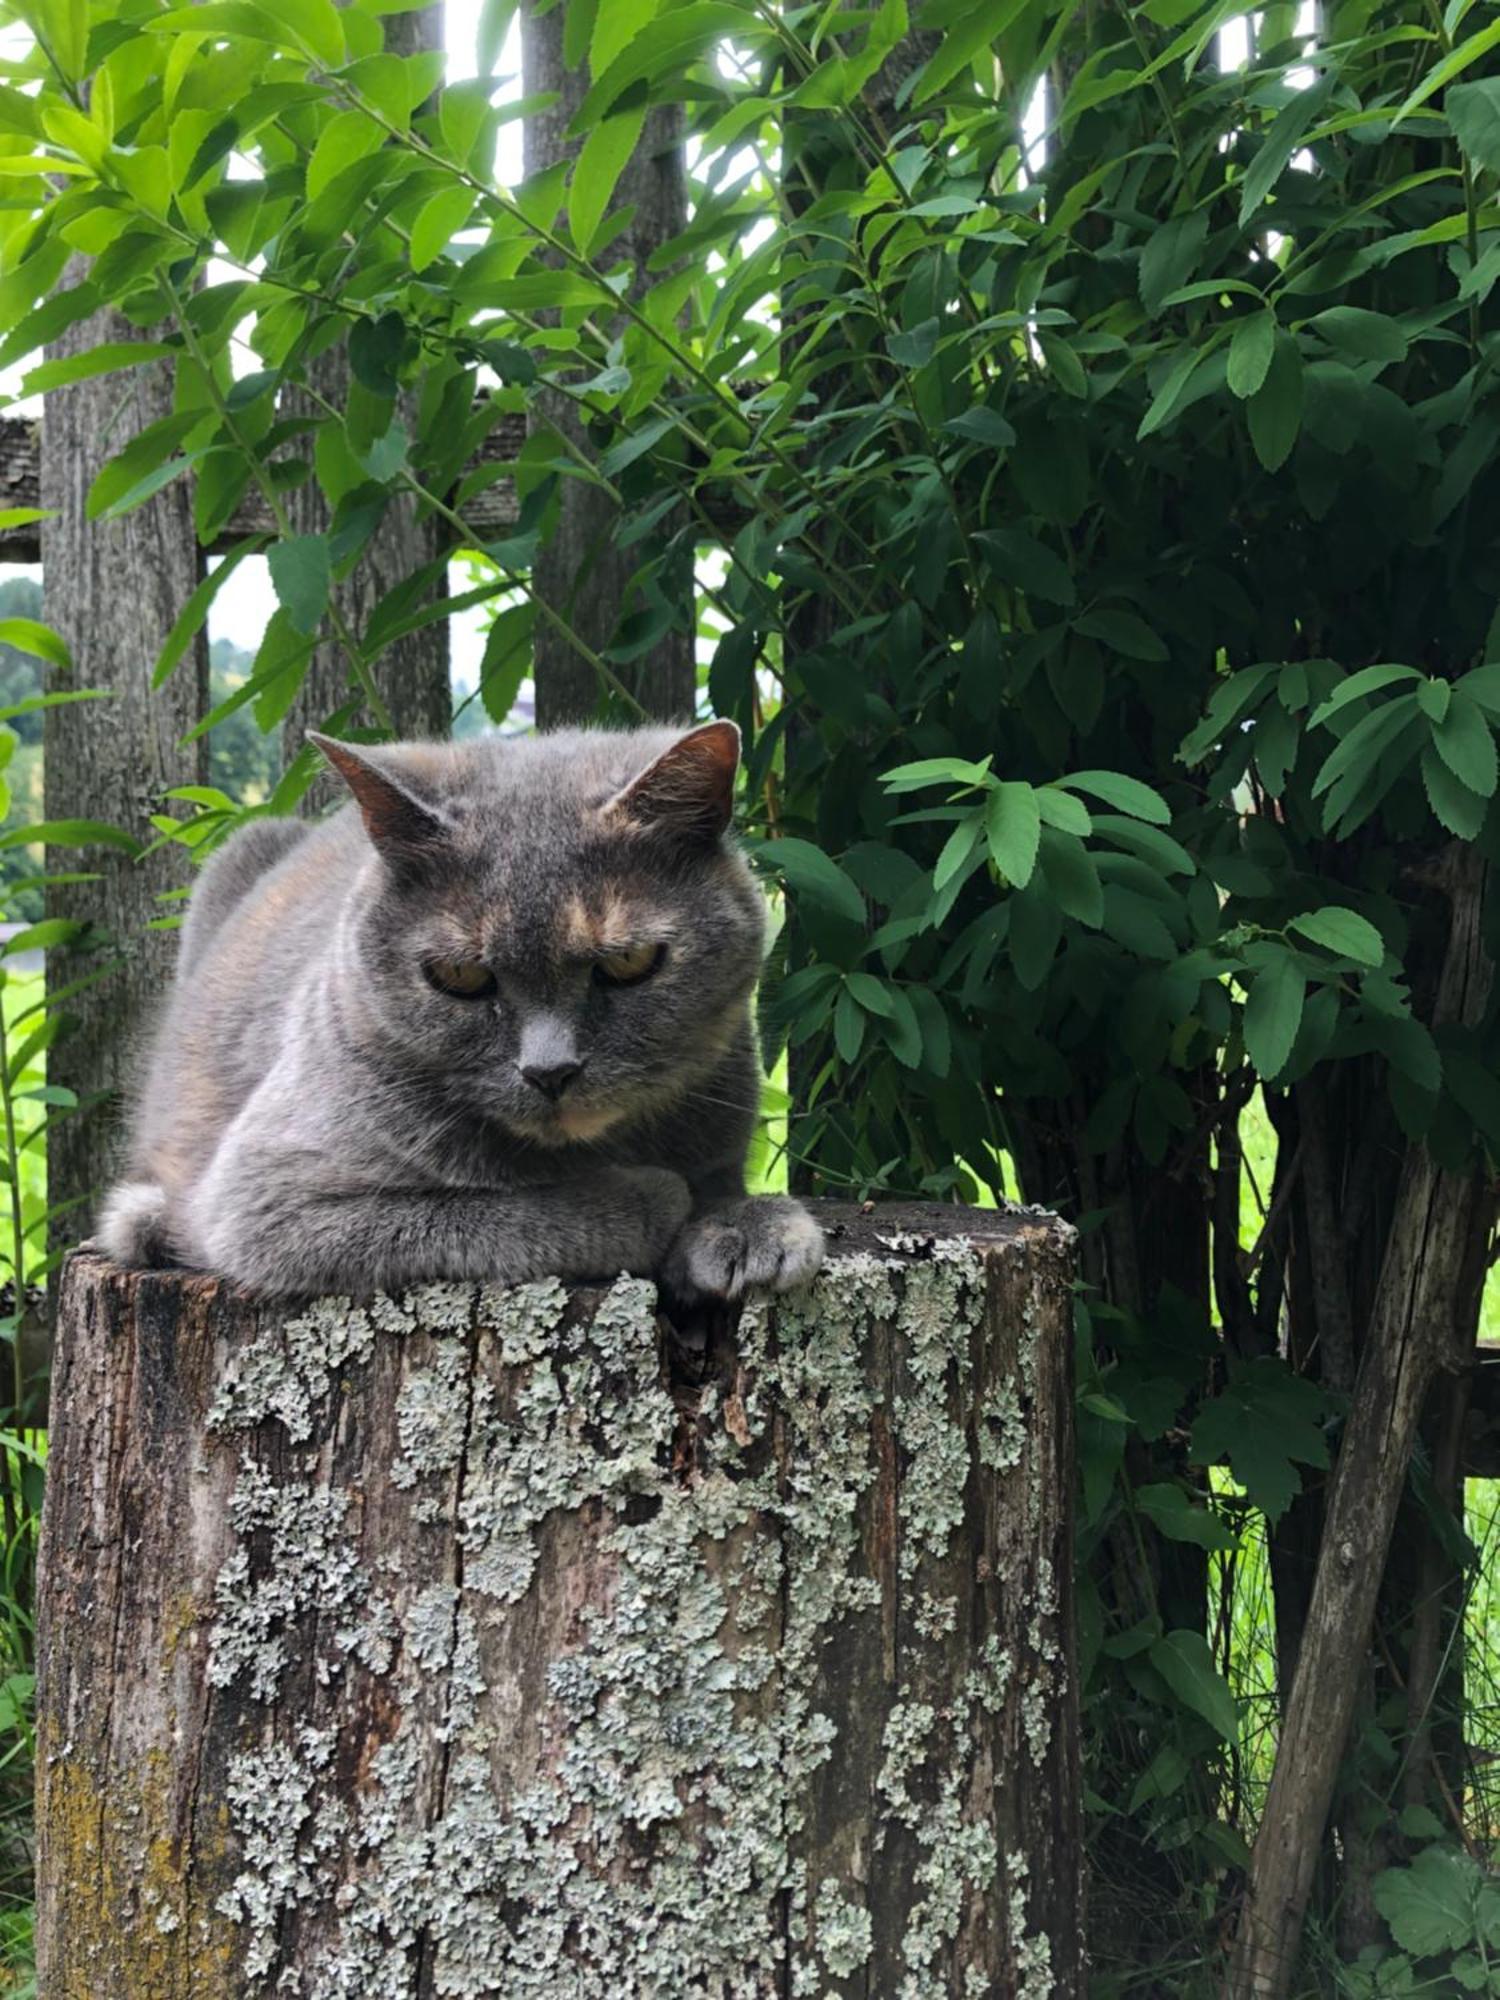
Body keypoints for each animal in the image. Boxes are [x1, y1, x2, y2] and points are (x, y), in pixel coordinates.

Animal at [97, 720, 824, 1296]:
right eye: (460, 976)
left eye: (629, 962)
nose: (550, 1071)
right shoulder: (269, 1204)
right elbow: (490, 1214)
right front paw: (655, 1198)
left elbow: (717, 1180)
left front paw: (745, 1226)